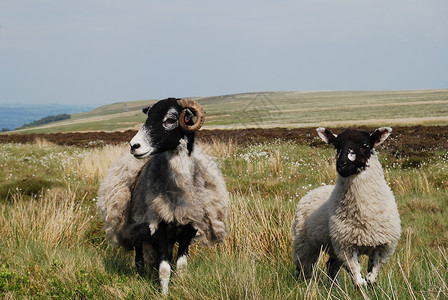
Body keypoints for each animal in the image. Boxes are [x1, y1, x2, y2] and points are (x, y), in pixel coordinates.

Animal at [98, 98, 231, 296]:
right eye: (147, 117)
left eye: (170, 120)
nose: (134, 146)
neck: (178, 192)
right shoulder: (157, 225)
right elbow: (164, 268)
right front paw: (164, 294)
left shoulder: (189, 227)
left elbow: (181, 266)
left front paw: (183, 288)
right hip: (136, 230)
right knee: (139, 259)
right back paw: (141, 276)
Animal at [292, 126, 400, 286]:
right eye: (337, 147)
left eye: (364, 146)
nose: (341, 165)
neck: (363, 214)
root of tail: (314, 190)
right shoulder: (346, 248)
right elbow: (359, 281)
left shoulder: (383, 247)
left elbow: (371, 279)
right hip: (304, 243)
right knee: (304, 267)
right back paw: (305, 284)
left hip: (332, 247)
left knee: (331, 266)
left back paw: (335, 287)